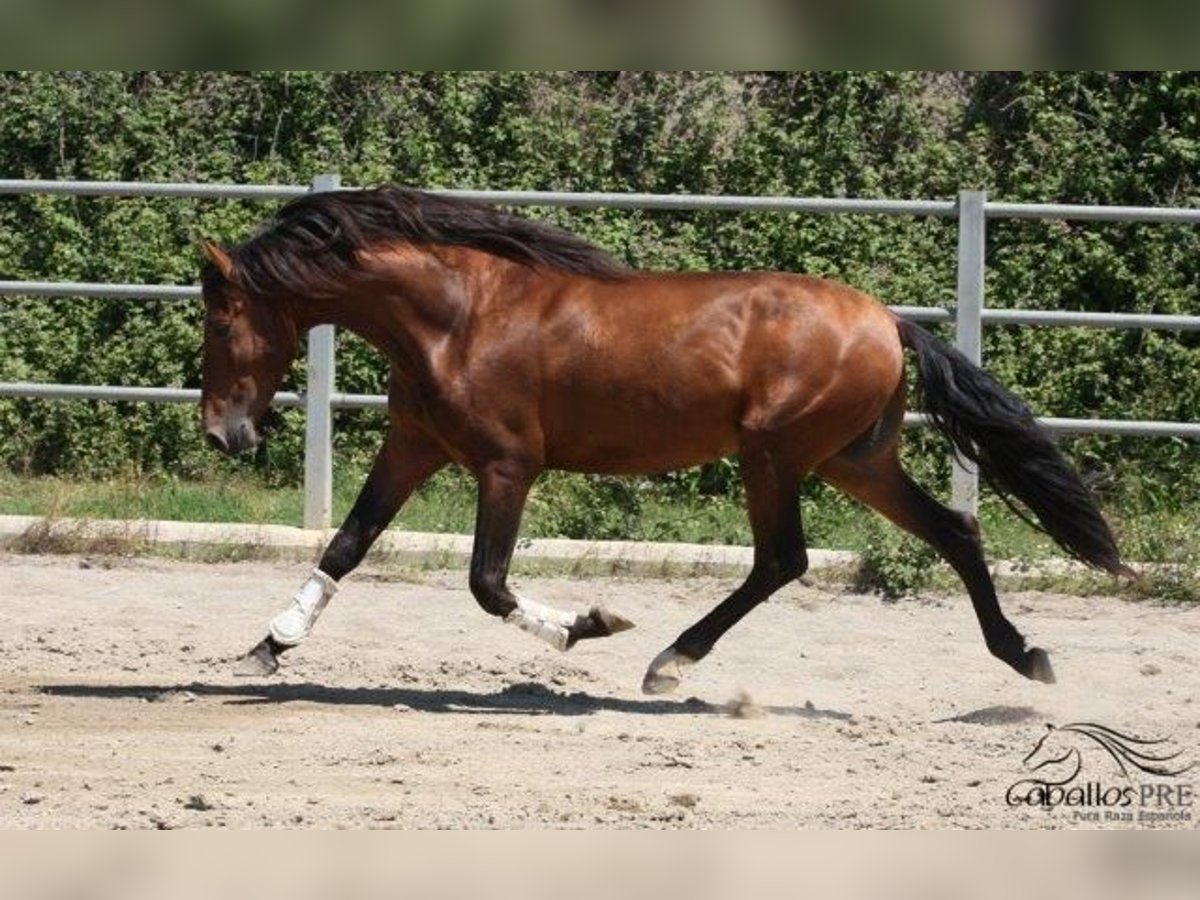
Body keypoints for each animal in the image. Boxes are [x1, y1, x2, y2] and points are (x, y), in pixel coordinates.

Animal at [201, 187, 1128, 696]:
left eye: (221, 317)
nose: (221, 434)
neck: (459, 317)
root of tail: (889, 323)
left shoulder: (507, 466)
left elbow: (487, 584)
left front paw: (591, 625)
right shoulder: (413, 444)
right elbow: (348, 545)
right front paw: (266, 649)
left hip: (776, 455)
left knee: (782, 559)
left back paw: (669, 661)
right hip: (854, 460)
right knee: (954, 532)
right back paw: (1026, 656)